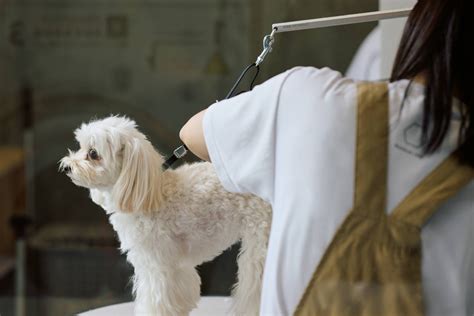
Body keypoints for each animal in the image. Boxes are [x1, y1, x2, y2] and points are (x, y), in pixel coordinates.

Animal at [60, 116, 270, 316]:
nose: (66, 167)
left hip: (261, 243)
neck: (148, 195)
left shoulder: (158, 266)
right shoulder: (175, 268)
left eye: (93, 153)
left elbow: (155, 303)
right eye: (80, 147)